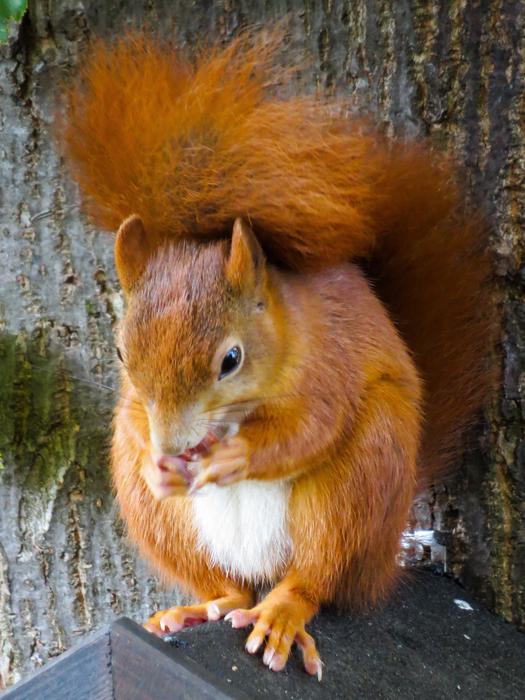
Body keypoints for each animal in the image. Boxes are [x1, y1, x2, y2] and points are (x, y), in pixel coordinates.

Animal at [61, 31, 494, 678]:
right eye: (119, 350)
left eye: (231, 359)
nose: (173, 446)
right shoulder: (137, 410)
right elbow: (135, 419)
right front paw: (158, 461)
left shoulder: (329, 366)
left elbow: (310, 428)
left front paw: (236, 456)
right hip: (161, 523)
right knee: (229, 587)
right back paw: (195, 609)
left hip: (358, 481)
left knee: (315, 577)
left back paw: (283, 614)